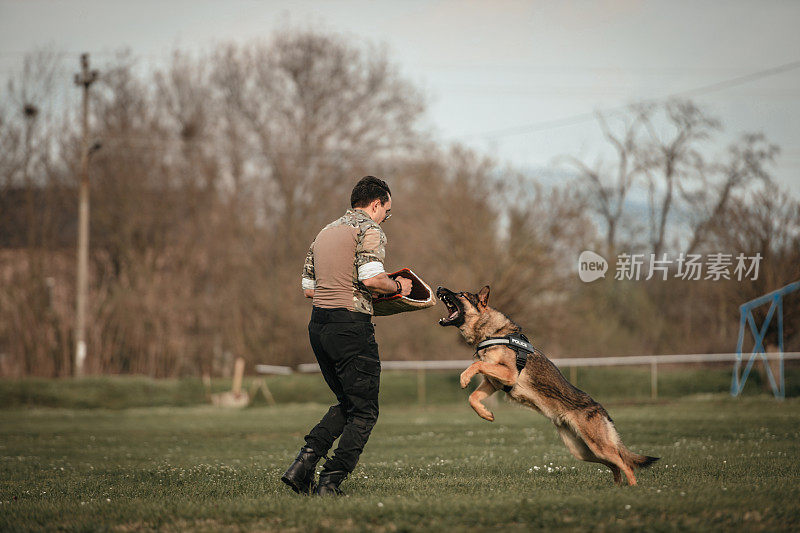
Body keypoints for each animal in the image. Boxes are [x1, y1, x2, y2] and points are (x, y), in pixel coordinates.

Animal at [438, 284, 656, 484]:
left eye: (461, 294)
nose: (439, 288)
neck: (492, 332)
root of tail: (600, 409)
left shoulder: (508, 374)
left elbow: (477, 364)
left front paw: (464, 378)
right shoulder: (494, 383)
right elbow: (472, 397)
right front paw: (486, 414)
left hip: (598, 446)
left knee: (625, 464)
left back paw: (632, 489)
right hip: (584, 451)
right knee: (615, 465)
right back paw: (618, 488)